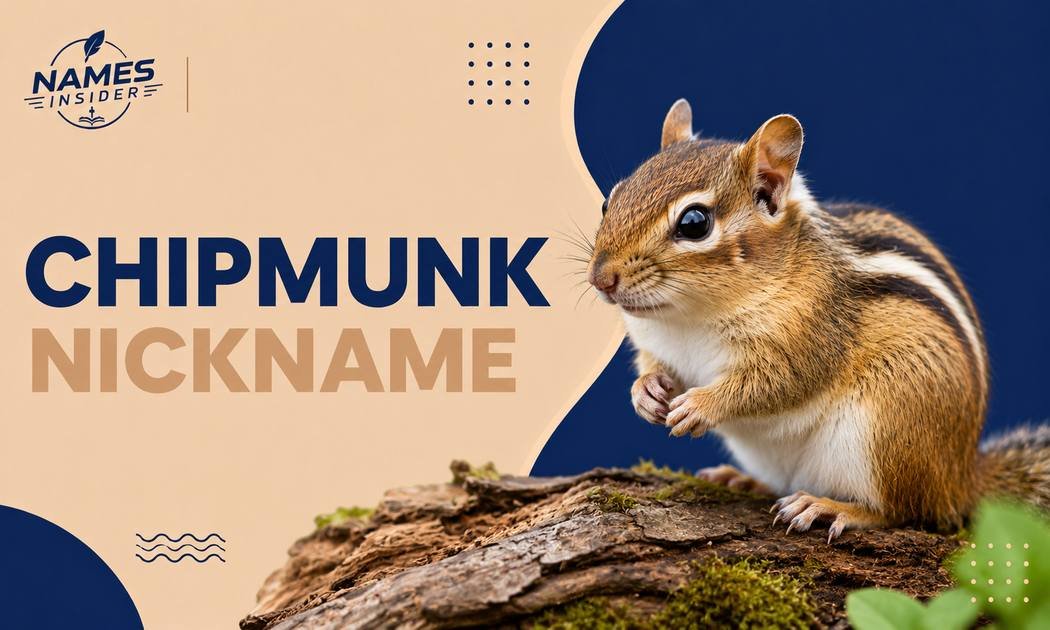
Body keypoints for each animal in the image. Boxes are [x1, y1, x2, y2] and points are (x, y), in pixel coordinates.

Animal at [587, 98, 1050, 541]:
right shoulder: (657, 343)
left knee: (904, 510)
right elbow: (654, 366)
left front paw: (701, 405)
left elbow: (773, 384)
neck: (689, 317)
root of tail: (962, 477)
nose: (601, 279)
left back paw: (832, 507)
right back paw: (743, 480)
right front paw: (646, 392)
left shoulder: (811, 337)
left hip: (885, 428)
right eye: (610, 200)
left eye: (695, 222)